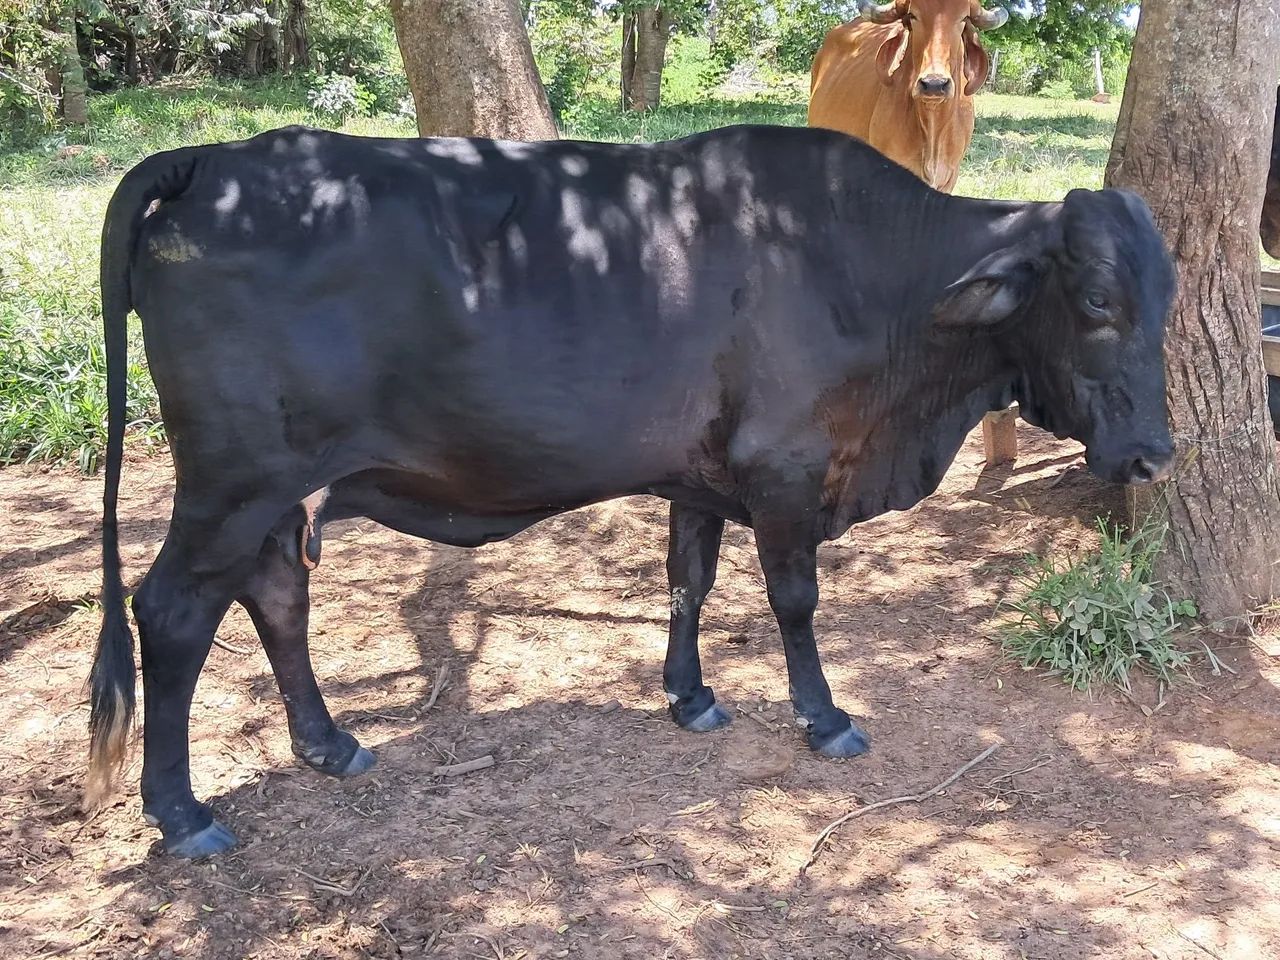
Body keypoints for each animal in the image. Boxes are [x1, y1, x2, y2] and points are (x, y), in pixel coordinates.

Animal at [87, 124, 1175, 858]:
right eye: (1094, 301)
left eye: (1166, 302)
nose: (1154, 455)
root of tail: (210, 160)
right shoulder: (783, 469)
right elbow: (794, 599)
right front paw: (823, 718)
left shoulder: (699, 474)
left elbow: (688, 581)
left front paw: (690, 695)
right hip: (232, 482)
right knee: (173, 612)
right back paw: (181, 813)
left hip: (277, 494)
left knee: (276, 595)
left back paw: (327, 743)